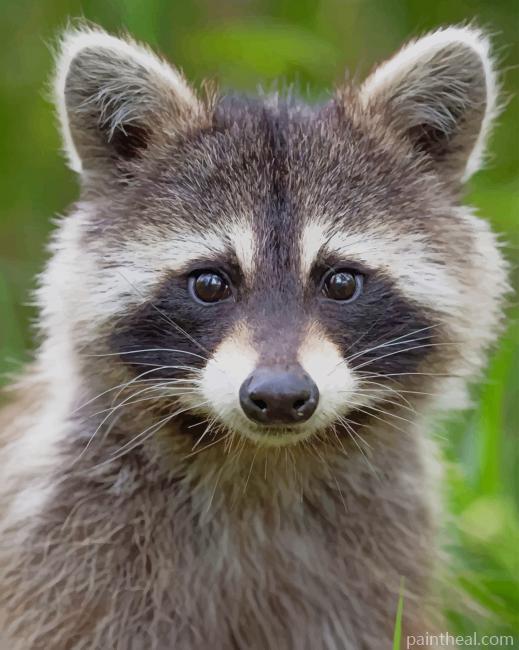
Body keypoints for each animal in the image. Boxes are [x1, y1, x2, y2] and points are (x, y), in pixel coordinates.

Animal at [0, 24, 509, 650]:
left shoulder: (378, 560)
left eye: (341, 281)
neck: (260, 461)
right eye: (210, 283)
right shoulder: (65, 547)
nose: (280, 396)